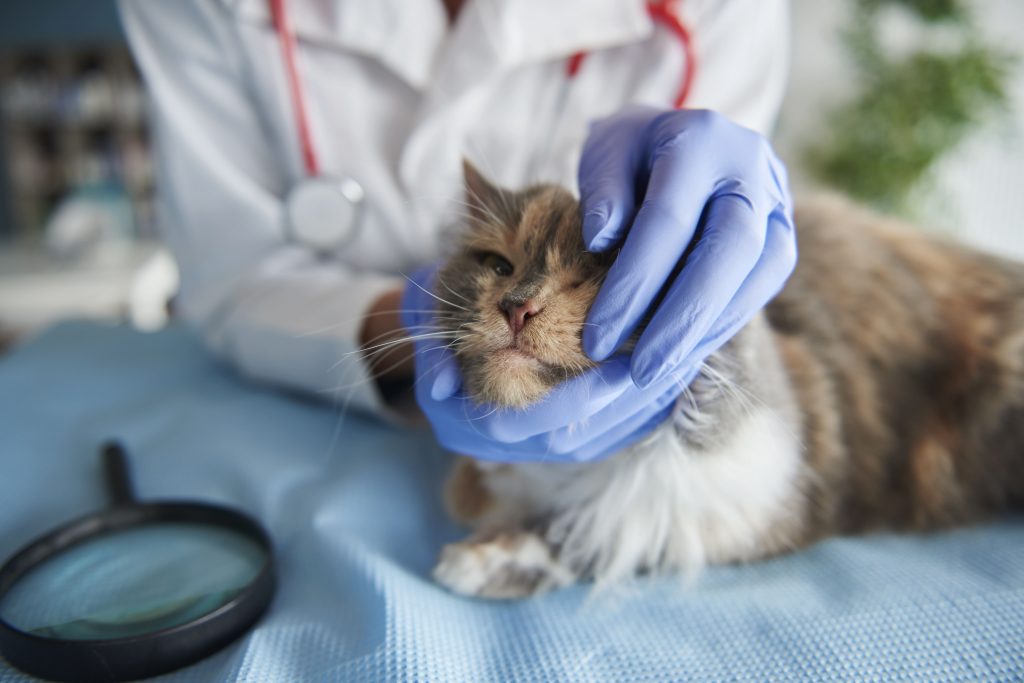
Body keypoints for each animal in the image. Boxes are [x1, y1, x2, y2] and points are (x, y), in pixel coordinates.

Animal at [421, 162, 1024, 602]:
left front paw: (477, 563)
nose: (516, 307)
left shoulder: (755, 501)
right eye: (500, 266)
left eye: (595, 276)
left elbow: (596, 531)